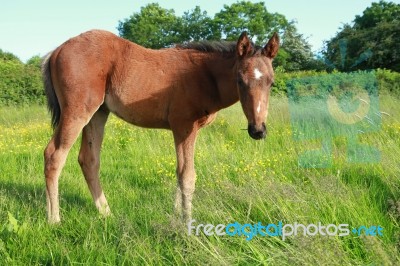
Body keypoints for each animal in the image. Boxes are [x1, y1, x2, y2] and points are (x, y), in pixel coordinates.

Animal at [41, 30, 278, 223]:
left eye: (271, 82)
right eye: (239, 80)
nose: (257, 130)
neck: (203, 75)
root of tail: (56, 51)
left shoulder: (185, 130)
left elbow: (180, 172)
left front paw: (176, 214)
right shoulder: (184, 126)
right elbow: (188, 176)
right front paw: (188, 224)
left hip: (98, 114)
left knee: (88, 160)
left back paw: (106, 213)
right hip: (77, 112)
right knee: (54, 155)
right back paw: (54, 219)